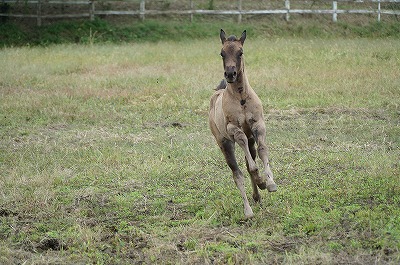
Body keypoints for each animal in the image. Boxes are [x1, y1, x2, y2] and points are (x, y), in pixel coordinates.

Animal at [208, 29, 276, 219]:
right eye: (222, 53)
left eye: (240, 52)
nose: (230, 74)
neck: (241, 98)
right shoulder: (235, 130)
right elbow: (250, 167)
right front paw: (262, 180)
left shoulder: (258, 126)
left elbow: (262, 151)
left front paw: (269, 183)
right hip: (224, 143)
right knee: (237, 174)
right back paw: (248, 211)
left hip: (250, 140)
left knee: (247, 162)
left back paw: (258, 195)